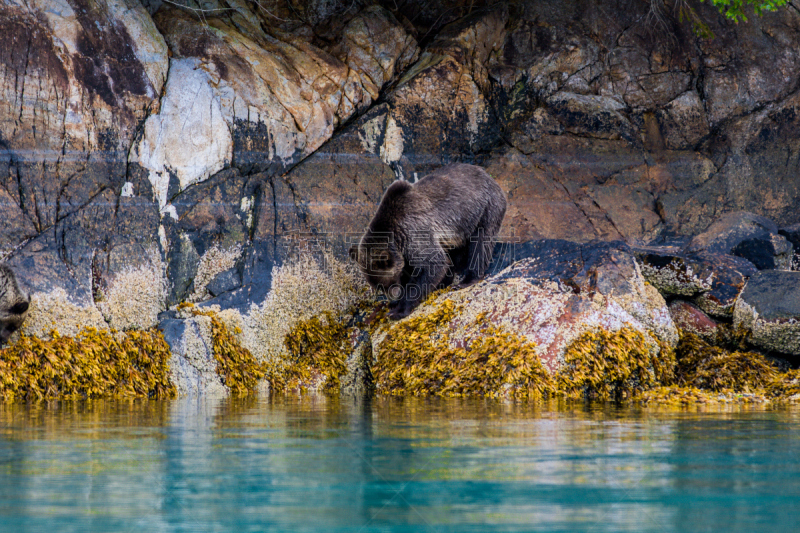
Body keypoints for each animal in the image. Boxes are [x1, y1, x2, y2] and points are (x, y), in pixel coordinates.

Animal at [350, 162, 506, 318]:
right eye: (378, 287)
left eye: (384, 284)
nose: (393, 298)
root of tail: (488, 176)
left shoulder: (414, 231)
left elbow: (433, 264)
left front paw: (399, 310)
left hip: (484, 208)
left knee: (481, 243)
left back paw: (466, 280)